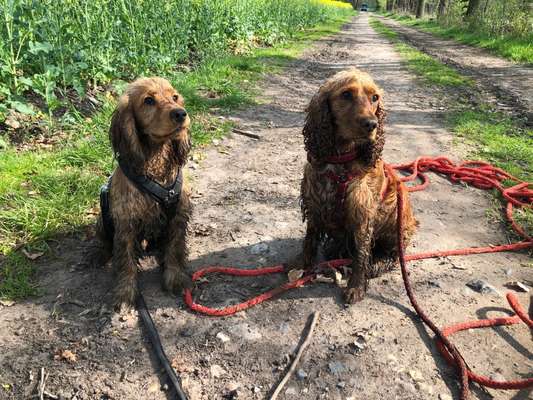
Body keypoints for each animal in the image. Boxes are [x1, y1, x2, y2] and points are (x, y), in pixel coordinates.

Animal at [92, 78, 192, 310]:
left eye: (175, 97)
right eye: (148, 101)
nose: (181, 114)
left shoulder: (178, 216)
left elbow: (175, 249)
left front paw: (174, 279)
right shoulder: (126, 223)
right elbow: (126, 261)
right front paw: (125, 292)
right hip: (103, 216)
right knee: (104, 242)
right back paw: (99, 256)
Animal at [300, 67, 416, 304]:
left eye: (375, 97)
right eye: (346, 94)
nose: (372, 124)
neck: (340, 161)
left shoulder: (362, 213)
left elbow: (361, 254)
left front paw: (356, 286)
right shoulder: (314, 204)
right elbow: (310, 240)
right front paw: (302, 268)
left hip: (397, 228)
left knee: (391, 256)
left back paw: (374, 264)